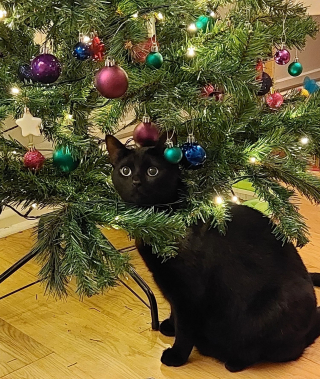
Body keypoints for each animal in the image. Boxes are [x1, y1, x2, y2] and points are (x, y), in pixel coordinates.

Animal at [105, 135, 320, 372]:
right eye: (125, 171)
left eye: (153, 171)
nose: (136, 181)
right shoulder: (169, 284)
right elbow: (173, 310)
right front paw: (170, 325)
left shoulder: (188, 291)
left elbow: (185, 328)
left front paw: (177, 355)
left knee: (266, 350)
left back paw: (231, 359)